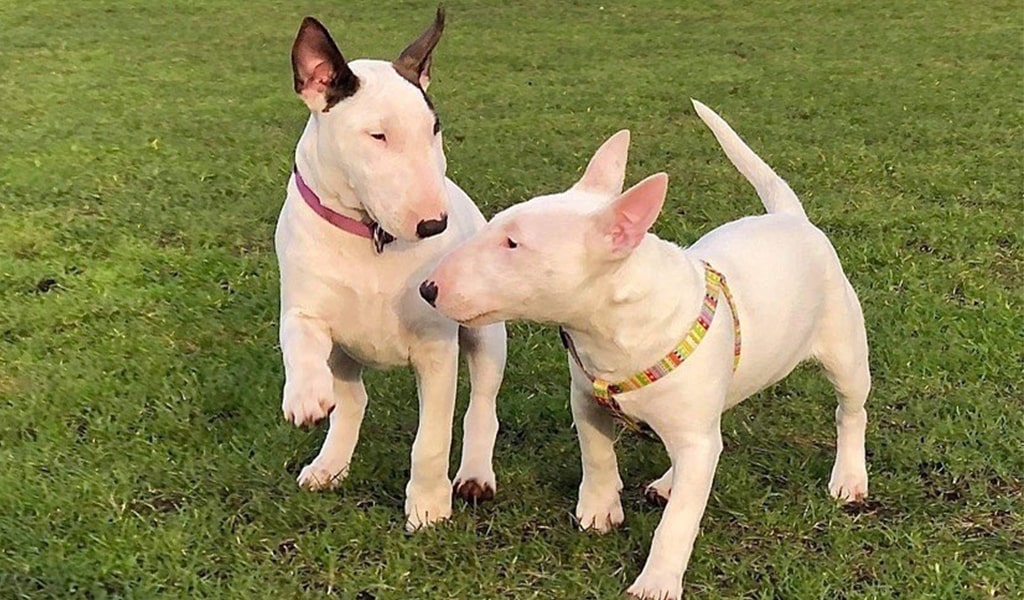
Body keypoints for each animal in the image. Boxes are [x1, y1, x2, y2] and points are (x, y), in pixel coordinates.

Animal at [276, 9, 507, 528]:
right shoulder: (304, 307)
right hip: (344, 354)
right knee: (352, 400)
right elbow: (298, 340)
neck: (372, 238)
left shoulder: (437, 349)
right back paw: (329, 464)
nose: (434, 223)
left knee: (482, 406)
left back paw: (474, 475)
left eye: (434, 129)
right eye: (377, 135)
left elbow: (432, 438)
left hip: (486, 334)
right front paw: (304, 396)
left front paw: (427, 505)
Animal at [419, 100, 868, 593]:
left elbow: (679, 521)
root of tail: (791, 217)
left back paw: (849, 477)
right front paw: (599, 510)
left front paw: (656, 583)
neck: (615, 329)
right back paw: (669, 481)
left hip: (845, 351)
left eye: (513, 243)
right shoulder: (586, 400)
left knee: (850, 412)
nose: (427, 289)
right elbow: (597, 455)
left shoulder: (693, 435)